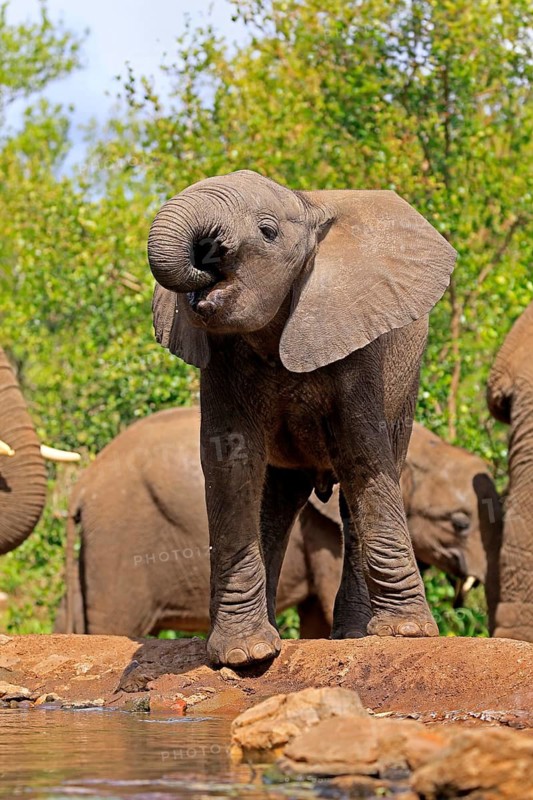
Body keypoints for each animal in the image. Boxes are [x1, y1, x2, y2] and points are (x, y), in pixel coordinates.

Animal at [147, 169, 457, 665]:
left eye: (267, 231)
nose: (206, 255)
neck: (307, 204)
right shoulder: (221, 357)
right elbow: (230, 462)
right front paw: (244, 656)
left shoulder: (356, 336)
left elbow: (362, 453)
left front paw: (407, 633)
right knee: (275, 503)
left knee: (357, 485)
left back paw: (354, 637)